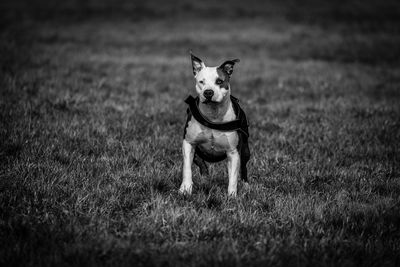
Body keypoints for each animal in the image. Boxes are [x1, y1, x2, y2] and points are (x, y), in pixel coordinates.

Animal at [180, 52, 252, 197]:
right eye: (201, 82)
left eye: (219, 81)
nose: (208, 92)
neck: (213, 115)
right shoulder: (189, 143)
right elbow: (187, 168)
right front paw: (185, 189)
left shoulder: (233, 152)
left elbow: (233, 176)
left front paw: (232, 196)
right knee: (202, 165)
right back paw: (204, 181)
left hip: (245, 151)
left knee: (243, 168)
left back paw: (246, 186)